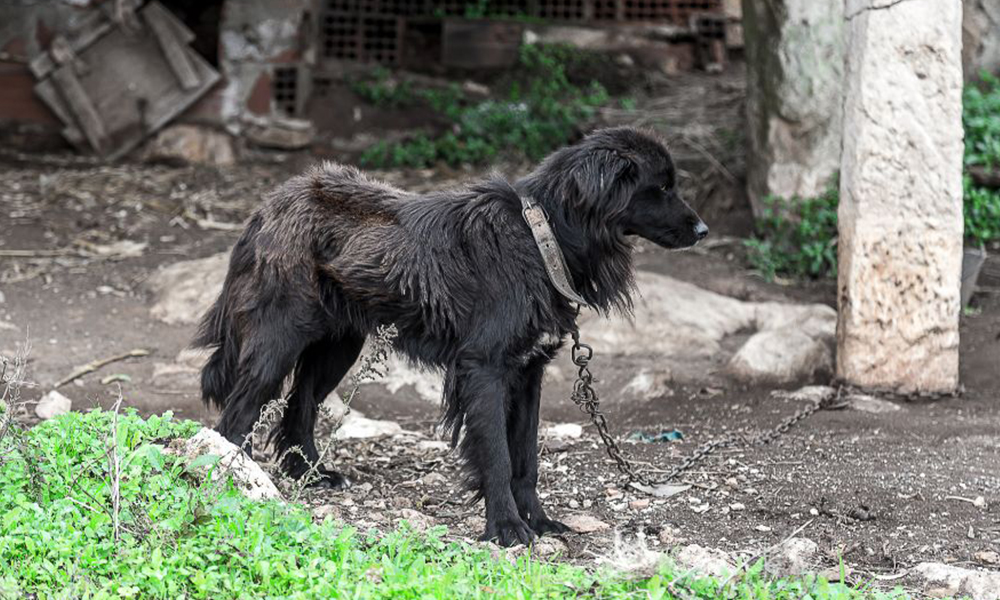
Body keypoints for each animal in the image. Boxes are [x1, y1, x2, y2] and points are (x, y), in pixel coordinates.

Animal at [195, 129, 708, 548]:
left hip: (337, 348)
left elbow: (526, 459)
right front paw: (506, 529)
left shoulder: (529, 372)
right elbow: (498, 456)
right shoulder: (484, 370)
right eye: (661, 187)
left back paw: (312, 475)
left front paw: (539, 522)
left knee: (299, 406)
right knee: (234, 420)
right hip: (277, 344)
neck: (540, 236)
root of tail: (270, 204)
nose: (704, 230)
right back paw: (236, 486)